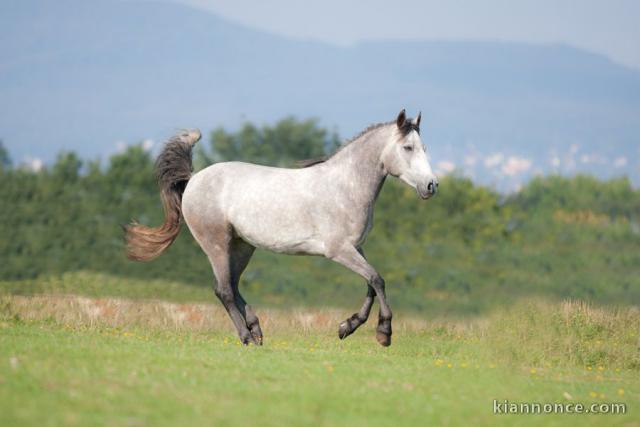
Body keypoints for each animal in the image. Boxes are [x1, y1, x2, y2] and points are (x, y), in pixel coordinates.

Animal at [125, 109, 438, 346]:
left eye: (424, 148)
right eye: (408, 148)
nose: (431, 186)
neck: (344, 186)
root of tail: (193, 179)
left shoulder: (356, 248)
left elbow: (372, 284)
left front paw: (347, 327)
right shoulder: (339, 250)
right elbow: (377, 280)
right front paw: (383, 333)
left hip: (242, 246)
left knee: (232, 286)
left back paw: (256, 330)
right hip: (216, 243)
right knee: (223, 290)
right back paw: (247, 337)